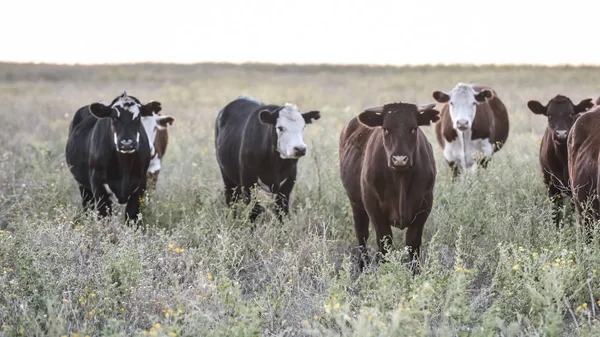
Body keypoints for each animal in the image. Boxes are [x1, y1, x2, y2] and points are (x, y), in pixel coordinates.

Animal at [66, 92, 162, 223]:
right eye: (114, 117)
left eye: (137, 117)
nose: (127, 143)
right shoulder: (97, 184)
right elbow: (104, 216)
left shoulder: (141, 184)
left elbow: (131, 216)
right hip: (83, 186)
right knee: (87, 207)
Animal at [338, 101, 440, 272]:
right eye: (386, 128)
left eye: (414, 128)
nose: (399, 159)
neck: (400, 180)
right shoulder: (373, 207)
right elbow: (384, 242)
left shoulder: (425, 205)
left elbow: (413, 242)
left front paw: (415, 273)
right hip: (356, 204)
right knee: (362, 235)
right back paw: (363, 267)